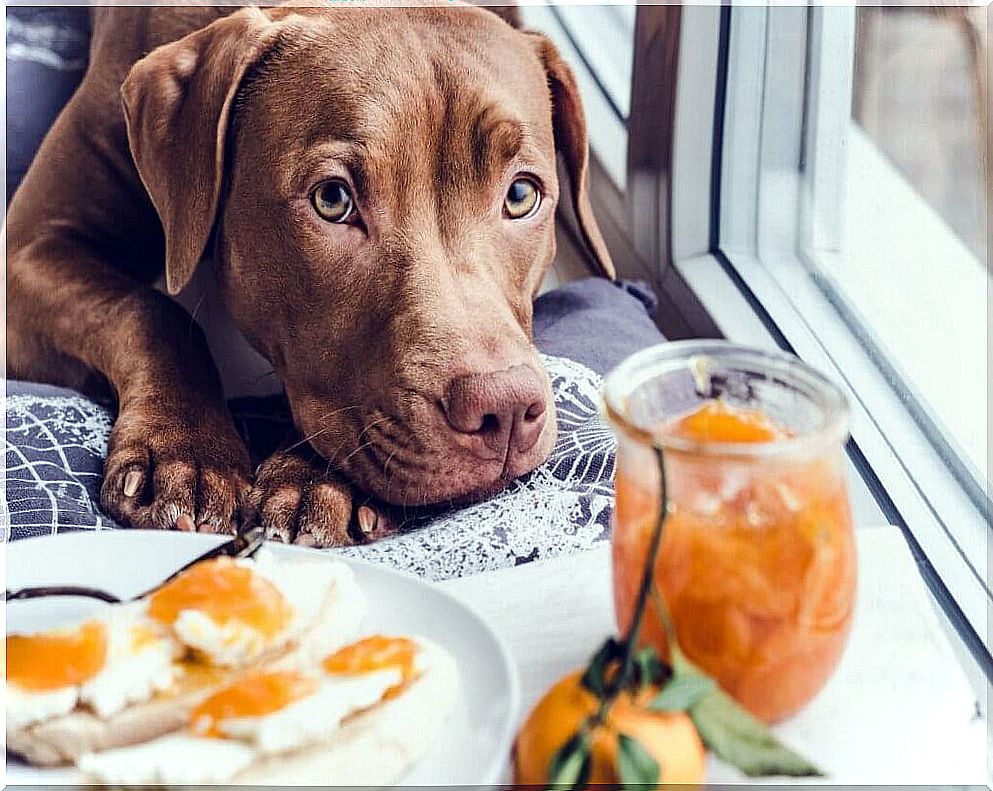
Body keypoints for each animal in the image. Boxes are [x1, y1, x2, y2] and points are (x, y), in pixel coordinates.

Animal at [5, 1, 612, 552]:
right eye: (333, 200)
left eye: (521, 194)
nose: (503, 410)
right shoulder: (28, 252)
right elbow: (152, 310)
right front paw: (186, 452)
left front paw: (317, 482)